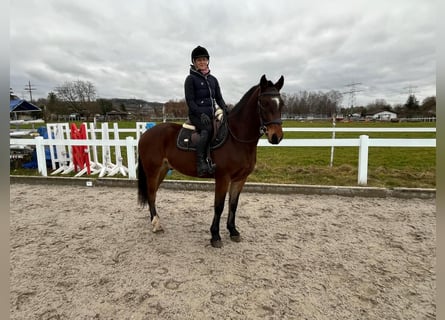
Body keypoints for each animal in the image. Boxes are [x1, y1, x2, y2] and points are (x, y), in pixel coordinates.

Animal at [138, 74, 284, 248]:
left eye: (281, 104)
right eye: (264, 103)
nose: (276, 137)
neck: (236, 138)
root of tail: (146, 134)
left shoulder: (240, 179)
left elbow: (233, 205)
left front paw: (233, 231)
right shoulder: (223, 178)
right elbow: (219, 206)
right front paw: (215, 236)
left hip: (163, 170)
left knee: (153, 193)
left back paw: (154, 221)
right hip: (153, 171)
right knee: (151, 194)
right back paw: (156, 224)